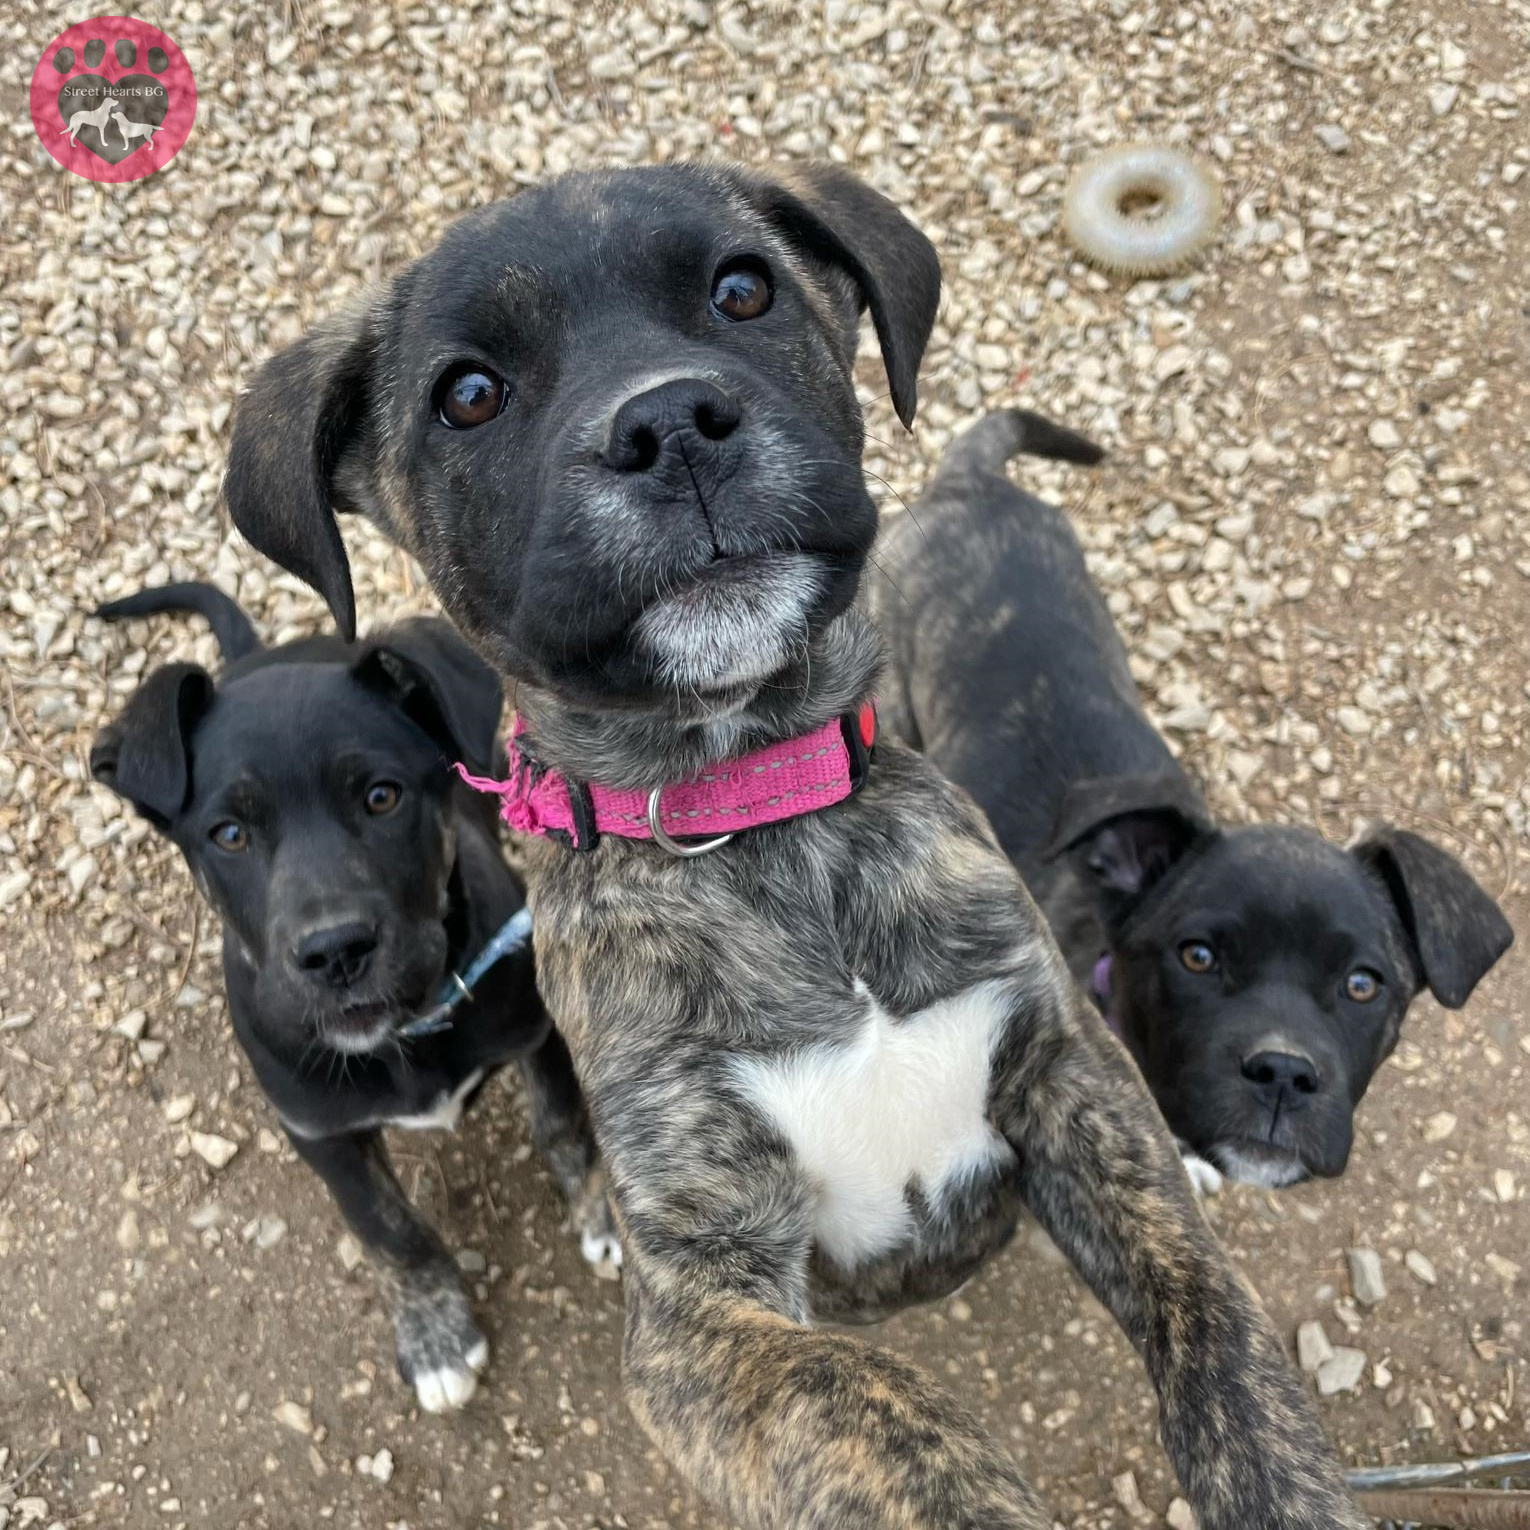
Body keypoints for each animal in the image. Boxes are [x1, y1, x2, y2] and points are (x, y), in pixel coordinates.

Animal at [89, 581, 612, 1407]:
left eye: (381, 797)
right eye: (229, 834)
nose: (335, 951)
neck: (404, 1030)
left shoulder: (536, 1032)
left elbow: (564, 1125)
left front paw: (599, 1218)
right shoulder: (321, 1133)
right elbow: (391, 1231)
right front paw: (436, 1338)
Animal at [218, 167, 1364, 1530]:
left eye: (742, 289)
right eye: (470, 393)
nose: (671, 423)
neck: (764, 815)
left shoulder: (1076, 1088)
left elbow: (1217, 1329)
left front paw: (1284, 1481)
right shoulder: (696, 1300)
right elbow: (858, 1405)